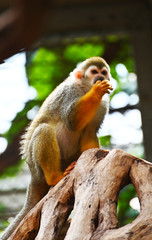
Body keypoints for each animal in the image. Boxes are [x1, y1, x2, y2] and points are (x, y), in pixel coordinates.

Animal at [1, 56, 113, 240]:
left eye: (103, 72)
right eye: (94, 72)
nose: (100, 78)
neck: (84, 88)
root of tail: (32, 176)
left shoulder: (104, 104)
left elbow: (89, 132)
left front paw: (98, 154)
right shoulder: (69, 92)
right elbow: (72, 120)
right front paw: (97, 91)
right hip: (37, 168)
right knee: (44, 129)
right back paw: (55, 177)